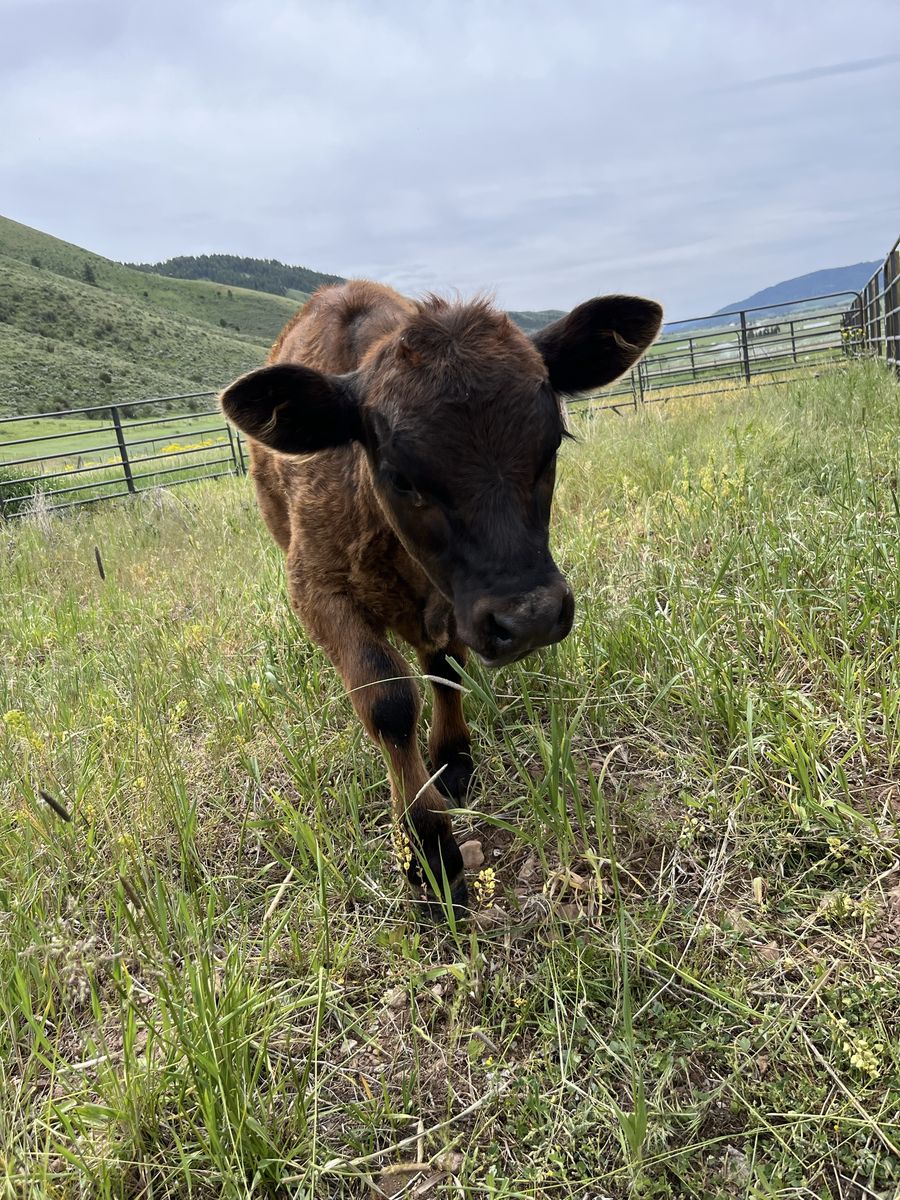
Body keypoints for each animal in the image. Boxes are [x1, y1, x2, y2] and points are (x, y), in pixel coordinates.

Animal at [220, 281, 662, 917]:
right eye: (401, 476)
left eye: (553, 442)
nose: (530, 617)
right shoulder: (317, 590)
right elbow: (388, 702)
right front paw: (429, 849)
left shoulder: (456, 602)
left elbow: (446, 671)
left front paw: (452, 761)